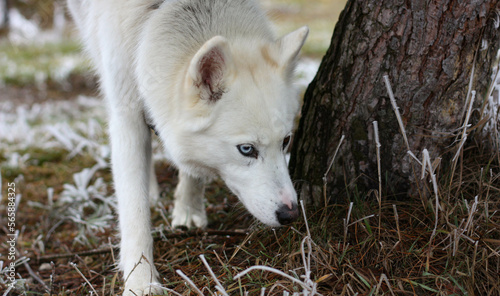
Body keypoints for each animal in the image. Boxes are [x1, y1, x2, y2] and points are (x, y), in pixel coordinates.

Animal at [68, 0, 306, 294]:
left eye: (285, 141)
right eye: (246, 149)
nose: (291, 214)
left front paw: (189, 210)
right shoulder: (126, 111)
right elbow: (134, 211)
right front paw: (141, 280)